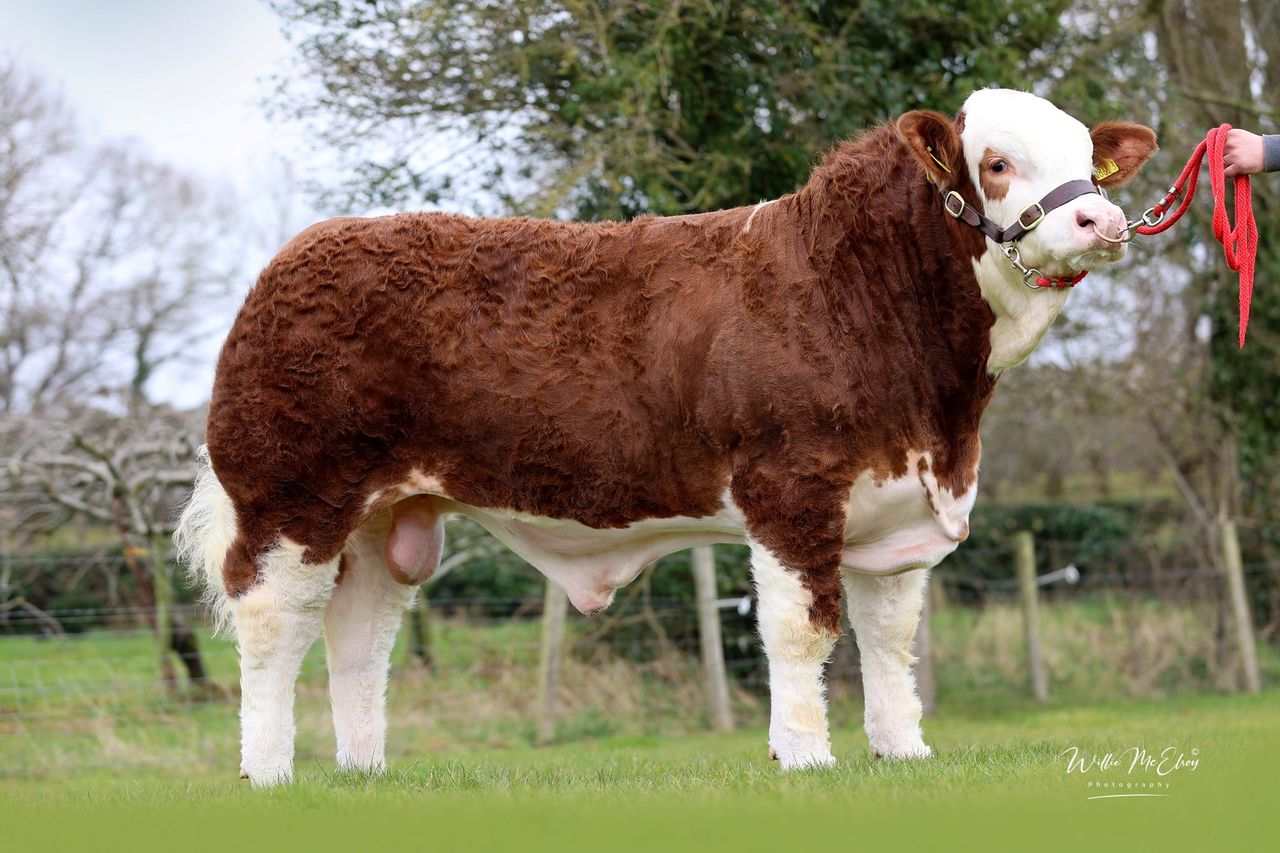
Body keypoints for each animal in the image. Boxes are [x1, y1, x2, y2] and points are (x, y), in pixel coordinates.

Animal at [175, 88, 1157, 786]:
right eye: (996, 162)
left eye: (1091, 162)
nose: (1101, 222)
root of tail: (302, 251)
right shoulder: (791, 488)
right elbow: (801, 628)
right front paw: (805, 754)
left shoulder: (896, 508)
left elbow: (890, 636)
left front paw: (901, 748)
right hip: (291, 499)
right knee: (273, 625)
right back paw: (269, 774)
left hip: (386, 516)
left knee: (359, 634)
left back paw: (364, 771)